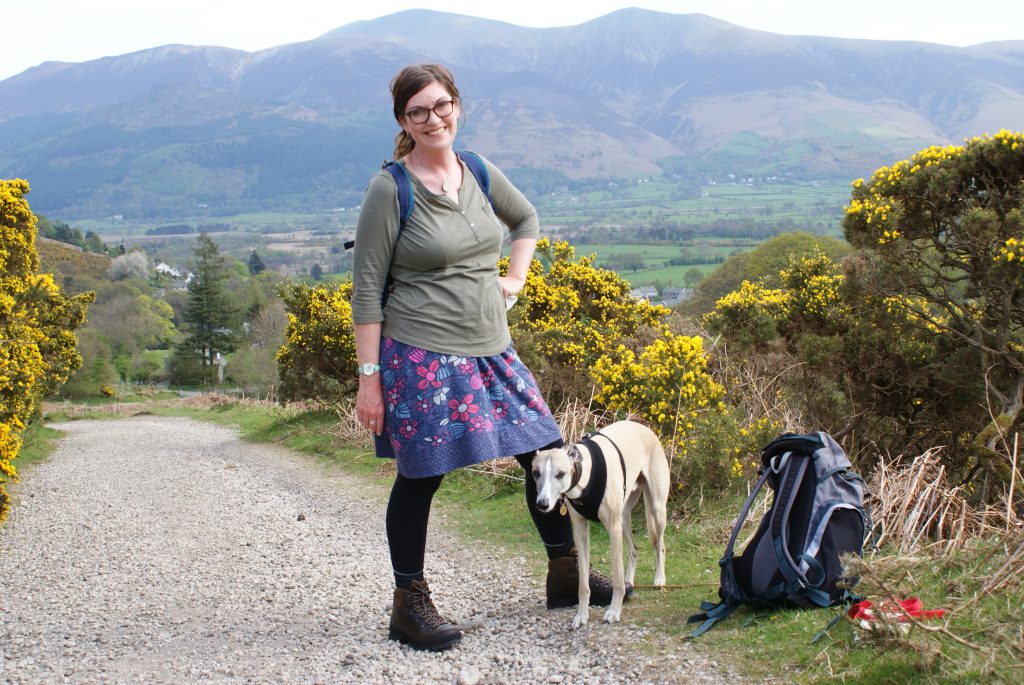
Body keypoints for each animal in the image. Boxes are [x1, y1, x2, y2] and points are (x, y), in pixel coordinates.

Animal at [532, 419, 667, 626]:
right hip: (624, 517)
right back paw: (630, 582)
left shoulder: (612, 527)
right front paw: (581, 615)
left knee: (660, 545)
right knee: (633, 550)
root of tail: (643, 427)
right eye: (536, 473)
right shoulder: (580, 530)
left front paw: (613, 611)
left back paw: (659, 578)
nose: (543, 504)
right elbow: (583, 584)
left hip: (656, 509)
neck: (585, 475)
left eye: (560, 474)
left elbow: (617, 578)